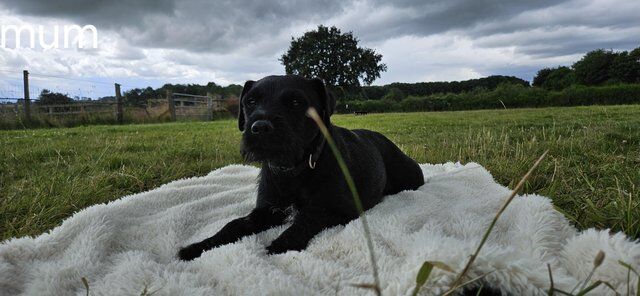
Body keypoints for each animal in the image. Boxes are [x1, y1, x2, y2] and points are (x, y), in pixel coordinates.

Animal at [178, 75, 422, 260]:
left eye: (296, 103)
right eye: (250, 102)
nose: (260, 127)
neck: (294, 169)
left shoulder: (336, 209)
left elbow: (305, 220)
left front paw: (280, 245)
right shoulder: (267, 209)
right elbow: (234, 224)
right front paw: (199, 246)